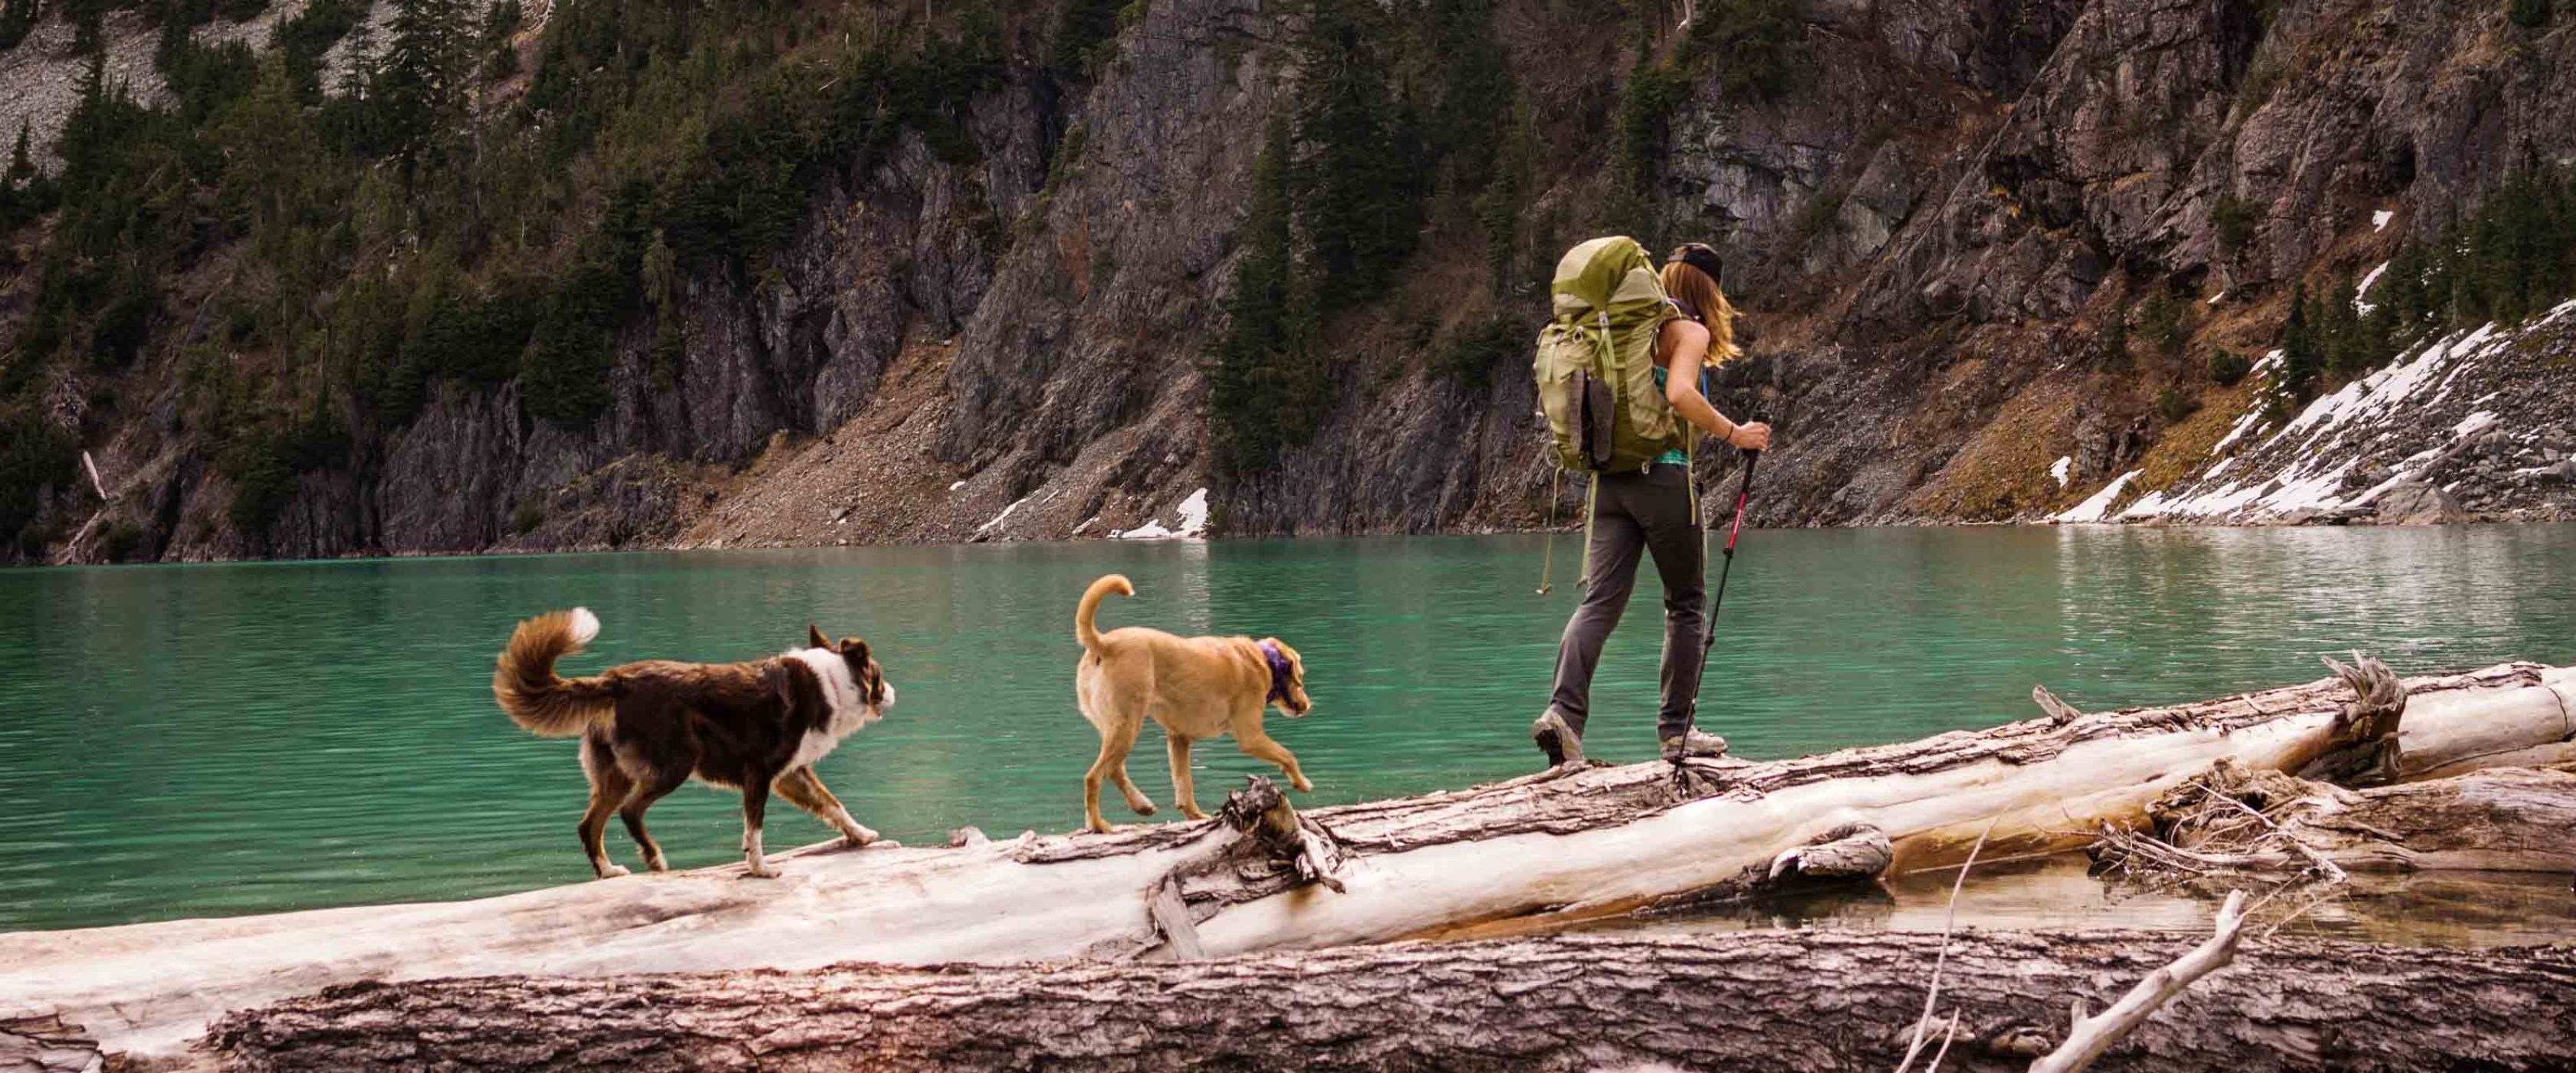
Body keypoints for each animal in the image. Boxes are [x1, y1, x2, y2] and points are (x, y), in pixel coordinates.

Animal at [491, 609, 896, 880]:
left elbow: (833, 804)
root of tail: (617, 680)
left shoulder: (790, 774)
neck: (830, 682)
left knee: (589, 824)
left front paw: (861, 835)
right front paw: (760, 868)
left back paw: (609, 870)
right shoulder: (761, 771)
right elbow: (755, 827)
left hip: (618, 774)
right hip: (676, 761)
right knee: (630, 811)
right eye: (879, 676)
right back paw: (654, 859)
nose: (894, 692)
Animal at [1066, 573, 1308, 833]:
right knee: (1094, 777)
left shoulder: (1179, 738)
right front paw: (1302, 782)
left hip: (1114, 728)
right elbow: (1287, 755)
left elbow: (1184, 786)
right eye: (1301, 677)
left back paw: (1140, 805)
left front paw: (1196, 815)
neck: (1264, 661)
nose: (1307, 705)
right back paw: (1098, 823)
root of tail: (1102, 643)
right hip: (1126, 726)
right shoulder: (1251, 737)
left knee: (1115, 770)